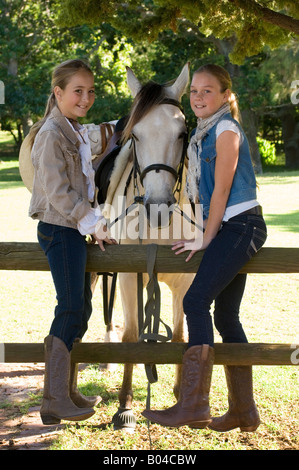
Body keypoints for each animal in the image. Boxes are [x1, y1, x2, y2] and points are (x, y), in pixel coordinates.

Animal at [101, 64, 197, 432]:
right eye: (136, 136)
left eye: (182, 133)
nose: (157, 207)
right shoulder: (130, 277)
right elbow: (131, 336)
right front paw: (125, 406)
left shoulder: (185, 282)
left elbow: (181, 335)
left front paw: (182, 396)